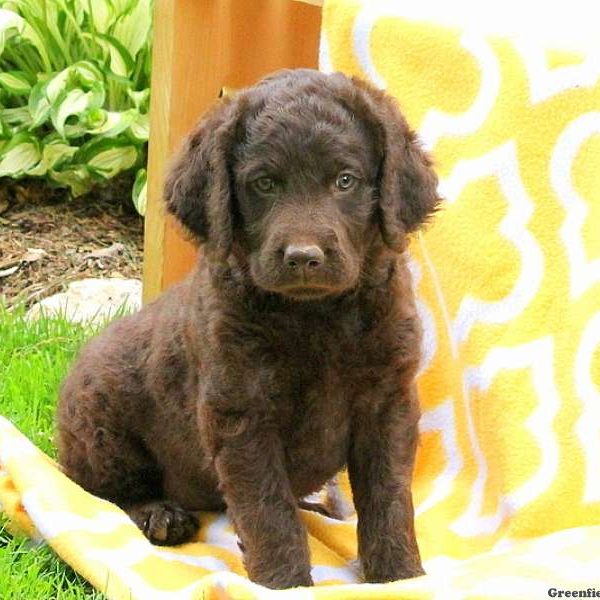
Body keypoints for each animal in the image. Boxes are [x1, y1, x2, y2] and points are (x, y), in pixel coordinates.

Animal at [56, 70, 440, 592]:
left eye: (345, 180)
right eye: (264, 183)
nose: (303, 257)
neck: (315, 316)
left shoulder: (388, 401)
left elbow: (389, 496)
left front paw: (400, 576)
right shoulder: (242, 412)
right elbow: (266, 507)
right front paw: (285, 584)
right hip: (100, 422)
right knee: (106, 491)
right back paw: (161, 515)